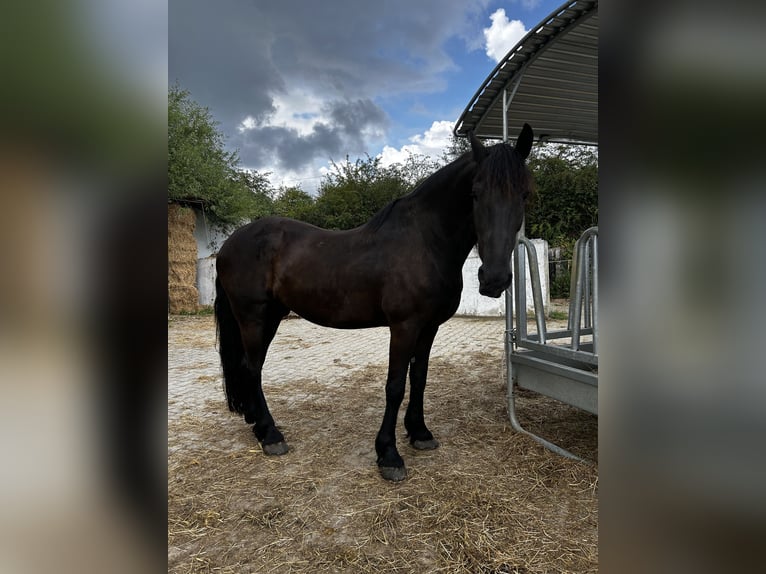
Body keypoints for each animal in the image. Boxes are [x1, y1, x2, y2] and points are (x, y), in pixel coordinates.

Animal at [214, 125, 534, 481]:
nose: (494, 279)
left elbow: (419, 378)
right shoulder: (404, 326)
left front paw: (419, 432)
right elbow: (395, 386)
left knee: (248, 368)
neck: (425, 242)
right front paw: (389, 454)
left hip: (271, 316)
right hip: (252, 317)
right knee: (252, 368)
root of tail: (229, 243)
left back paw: (257, 424)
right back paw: (270, 435)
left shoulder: (429, 327)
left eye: (524, 194)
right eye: (475, 194)